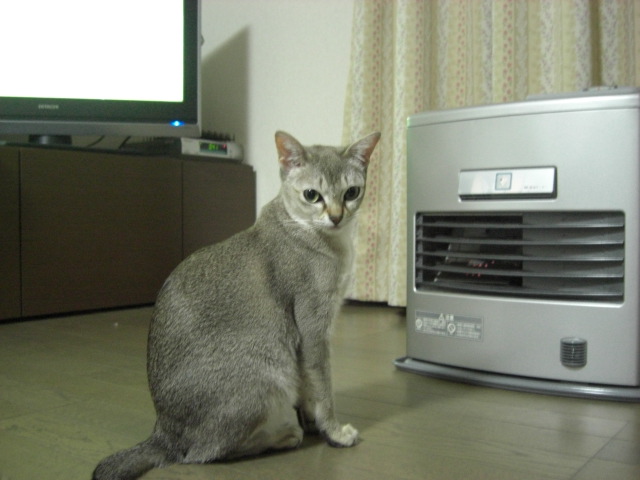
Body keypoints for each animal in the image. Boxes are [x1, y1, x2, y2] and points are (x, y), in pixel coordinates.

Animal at [92, 130, 380, 480]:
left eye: (352, 192)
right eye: (312, 195)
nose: (337, 216)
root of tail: (163, 431)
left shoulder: (306, 342)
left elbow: (308, 387)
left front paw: (314, 422)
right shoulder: (313, 330)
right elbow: (323, 387)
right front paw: (334, 432)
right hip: (266, 371)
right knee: (201, 455)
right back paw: (283, 435)